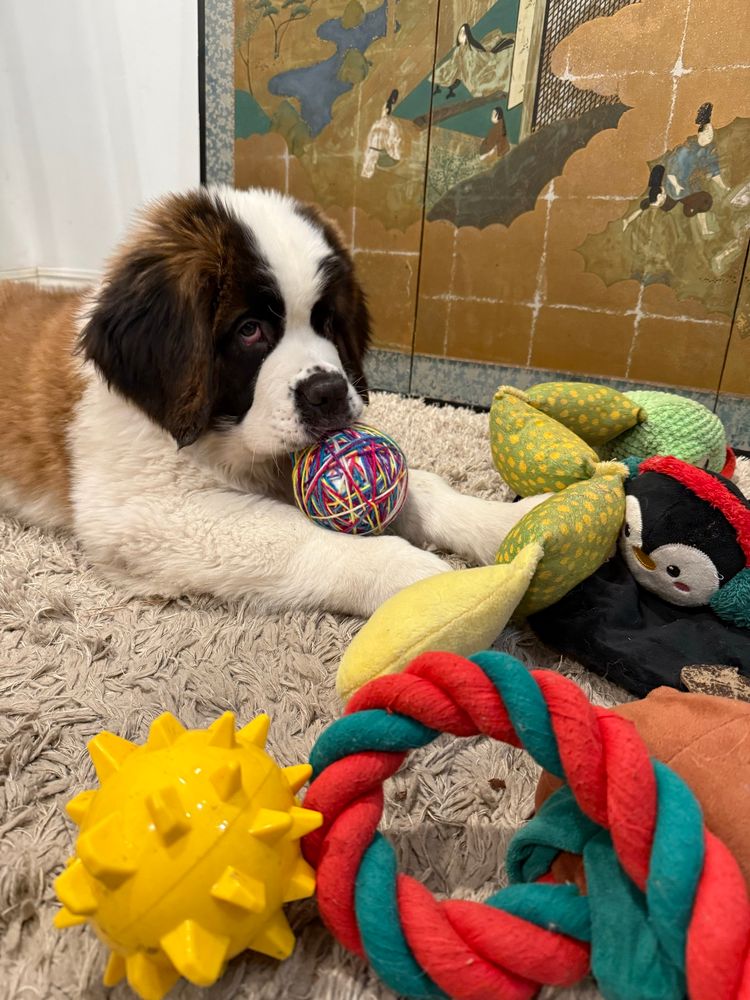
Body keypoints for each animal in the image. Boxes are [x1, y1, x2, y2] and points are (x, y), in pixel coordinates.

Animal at [0, 186, 539, 617]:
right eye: (249, 330)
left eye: (327, 321)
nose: (329, 393)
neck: (221, 435)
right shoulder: (139, 513)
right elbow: (293, 537)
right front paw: (435, 585)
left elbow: (423, 488)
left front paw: (508, 522)